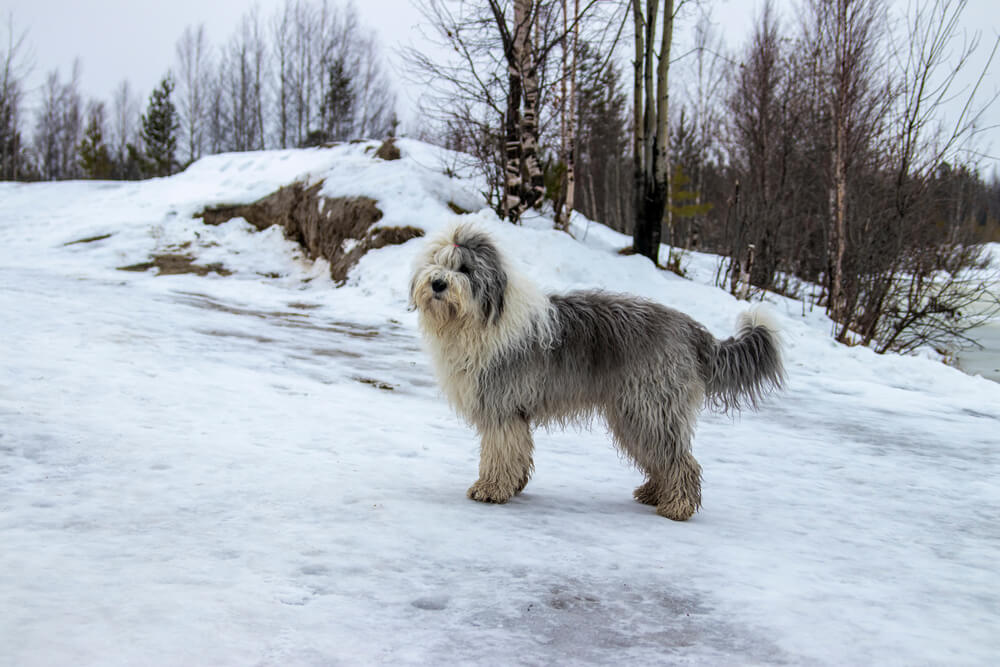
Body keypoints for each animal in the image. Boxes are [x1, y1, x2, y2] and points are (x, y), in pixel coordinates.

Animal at [410, 222, 784, 520]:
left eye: (465, 269)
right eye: (436, 263)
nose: (438, 284)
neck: (481, 319)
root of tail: (691, 329)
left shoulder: (502, 408)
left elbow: (499, 452)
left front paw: (490, 489)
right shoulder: (513, 412)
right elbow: (516, 452)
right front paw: (512, 485)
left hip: (649, 407)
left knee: (681, 461)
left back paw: (677, 507)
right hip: (635, 411)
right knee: (662, 457)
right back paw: (654, 493)